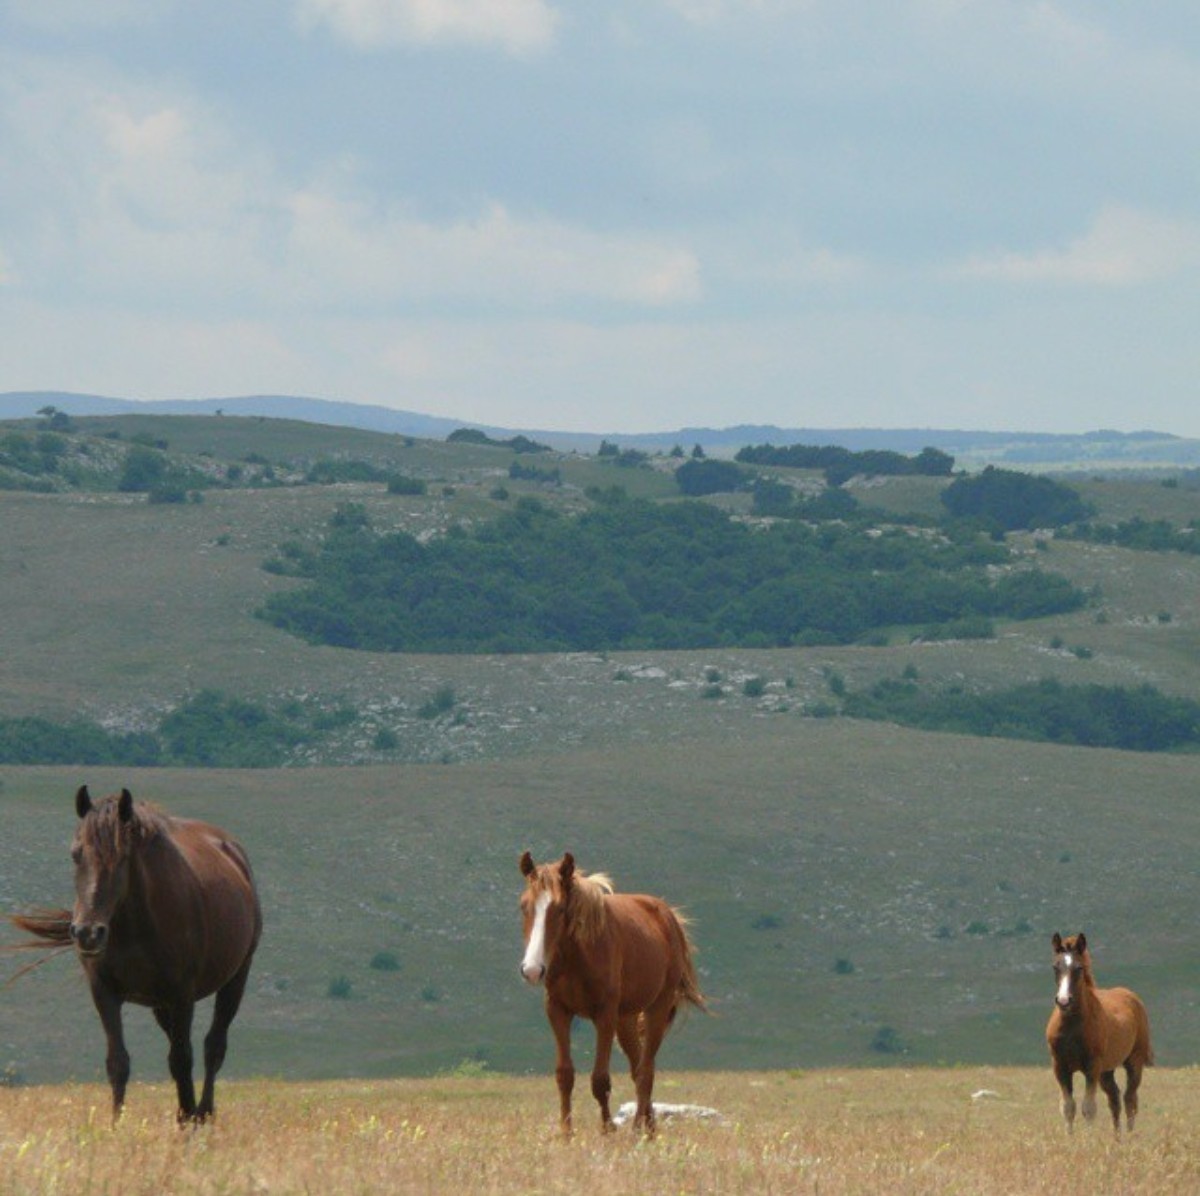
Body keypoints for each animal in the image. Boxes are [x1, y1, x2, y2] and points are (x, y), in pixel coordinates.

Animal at [11, 782, 260, 1118]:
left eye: (122, 857)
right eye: (76, 854)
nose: (88, 933)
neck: (135, 925)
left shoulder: (182, 995)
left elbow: (182, 1060)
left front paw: (186, 1124)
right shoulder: (105, 993)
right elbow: (118, 1063)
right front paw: (116, 1124)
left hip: (235, 979)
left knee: (213, 1047)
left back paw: (202, 1112)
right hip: (160, 1005)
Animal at [516, 844, 700, 1132]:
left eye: (560, 909)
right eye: (525, 906)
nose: (532, 970)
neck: (578, 958)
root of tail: (668, 916)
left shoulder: (604, 1014)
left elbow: (600, 1079)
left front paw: (608, 1130)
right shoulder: (557, 1010)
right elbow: (564, 1075)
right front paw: (566, 1133)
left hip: (656, 1008)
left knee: (646, 1071)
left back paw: (637, 1130)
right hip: (625, 1019)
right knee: (638, 1067)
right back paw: (649, 1129)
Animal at [1046, 935, 1156, 1127]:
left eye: (1079, 968)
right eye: (1055, 967)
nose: (1064, 1000)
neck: (1071, 1027)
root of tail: (1132, 996)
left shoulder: (1092, 1066)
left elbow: (1088, 1108)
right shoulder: (1060, 1067)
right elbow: (1068, 1107)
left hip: (1134, 1061)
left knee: (1130, 1099)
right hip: (1106, 1070)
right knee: (1114, 1099)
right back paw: (1116, 1135)